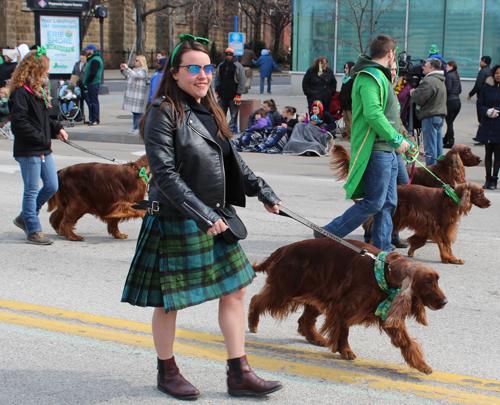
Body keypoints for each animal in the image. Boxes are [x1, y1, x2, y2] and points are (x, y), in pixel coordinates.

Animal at [248, 238, 448, 374]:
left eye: (437, 281)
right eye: (427, 282)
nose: (445, 302)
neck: (386, 271)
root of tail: (283, 249)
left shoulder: (383, 309)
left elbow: (406, 341)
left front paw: (422, 365)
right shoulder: (345, 305)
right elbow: (344, 330)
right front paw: (345, 350)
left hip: (317, 292)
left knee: (304, 320)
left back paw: (316, 338)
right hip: (285, 289)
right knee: (257, 299)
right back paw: (252, 323)